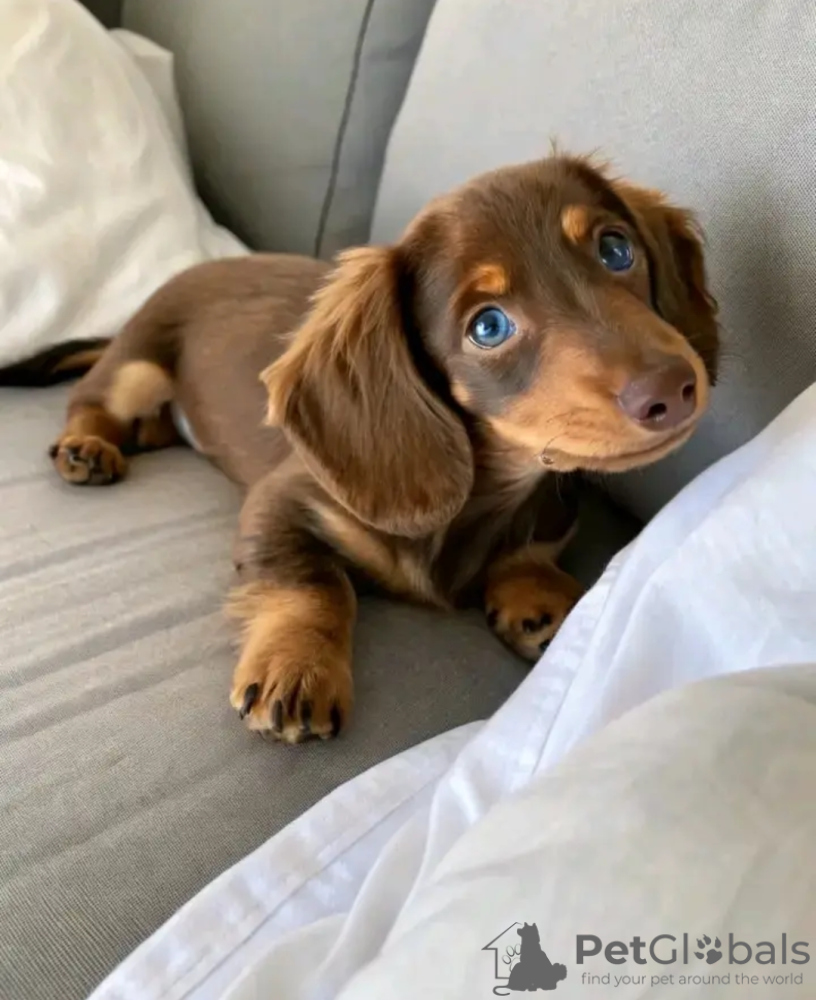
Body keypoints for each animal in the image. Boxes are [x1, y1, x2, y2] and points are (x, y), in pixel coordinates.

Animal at [43, 155, 719, 743]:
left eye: (616, 249)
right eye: (488, 326)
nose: (672, 389)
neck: (484, 492)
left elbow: (530, 551)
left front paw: (542, 599)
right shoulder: (281, 501)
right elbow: (314, 584)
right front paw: (298, 666)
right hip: (139, 364)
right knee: (91, 398)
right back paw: (87, 447)